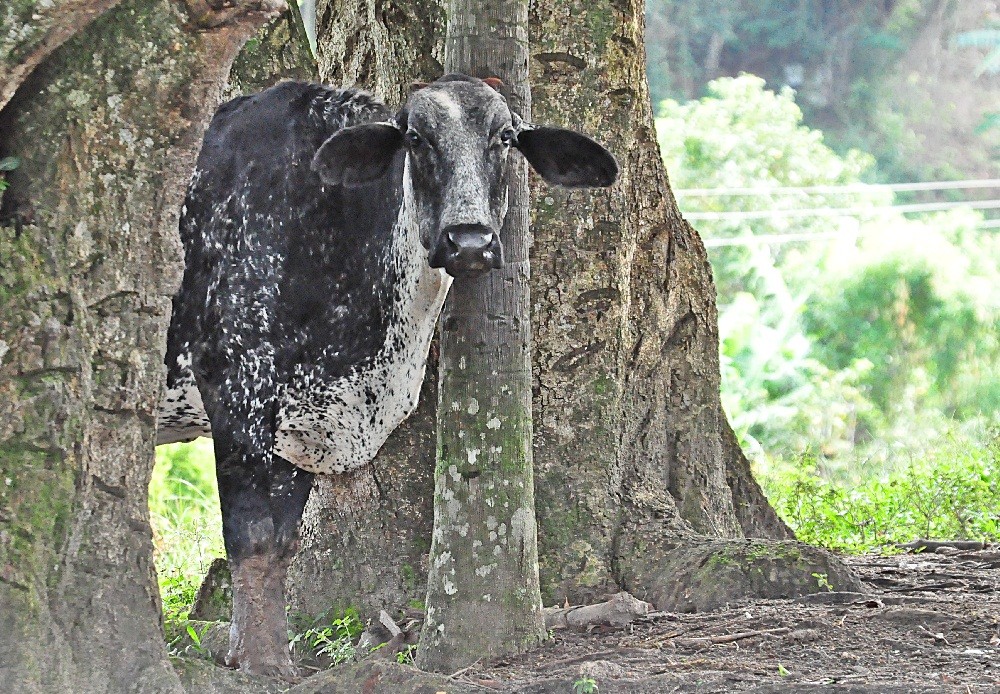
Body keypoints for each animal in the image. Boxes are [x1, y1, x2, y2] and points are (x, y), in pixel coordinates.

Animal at [156, 75, 616, 680]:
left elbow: (280, 545)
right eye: (416, 138)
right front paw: (260, 665)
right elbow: (251, 539)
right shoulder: (236, 393)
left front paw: (264, 655)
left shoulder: (300, 430)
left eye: (505, 138)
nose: (470, 240)